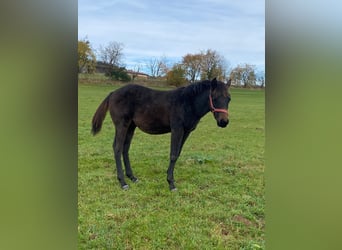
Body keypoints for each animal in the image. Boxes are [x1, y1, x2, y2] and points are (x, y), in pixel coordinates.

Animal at [91, 77, 231, 190]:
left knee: (125, 148)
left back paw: (132, 177)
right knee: (117, 148)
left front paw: (169, 178)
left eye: (229, 99)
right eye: (214, 98)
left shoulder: (186, 131)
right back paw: (123, 182)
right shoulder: (177, 129)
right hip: (122, 125)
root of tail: (113, 93)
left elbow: (177, 154)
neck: (188, 103)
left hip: (131, 126)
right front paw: (171, 183)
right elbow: (173, 154)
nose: (224, 122)